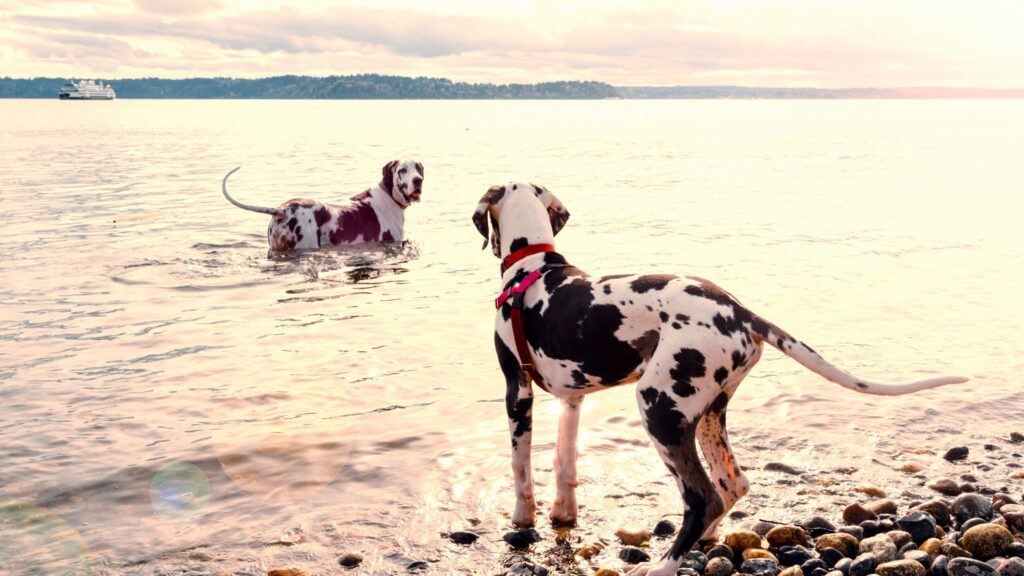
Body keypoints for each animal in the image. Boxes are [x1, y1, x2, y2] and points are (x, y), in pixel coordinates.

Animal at [473, 182, 966, 573]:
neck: (532, 267)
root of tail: (742, 312)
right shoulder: (572, 399)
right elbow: (565, 464)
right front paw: (562, 515)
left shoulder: (517, 391)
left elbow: (521, 468)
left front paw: (522, 519)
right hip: (708, 410)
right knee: (733, 484)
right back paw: (707, 538)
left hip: (659, 408)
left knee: (702, 496)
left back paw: (662, 567)